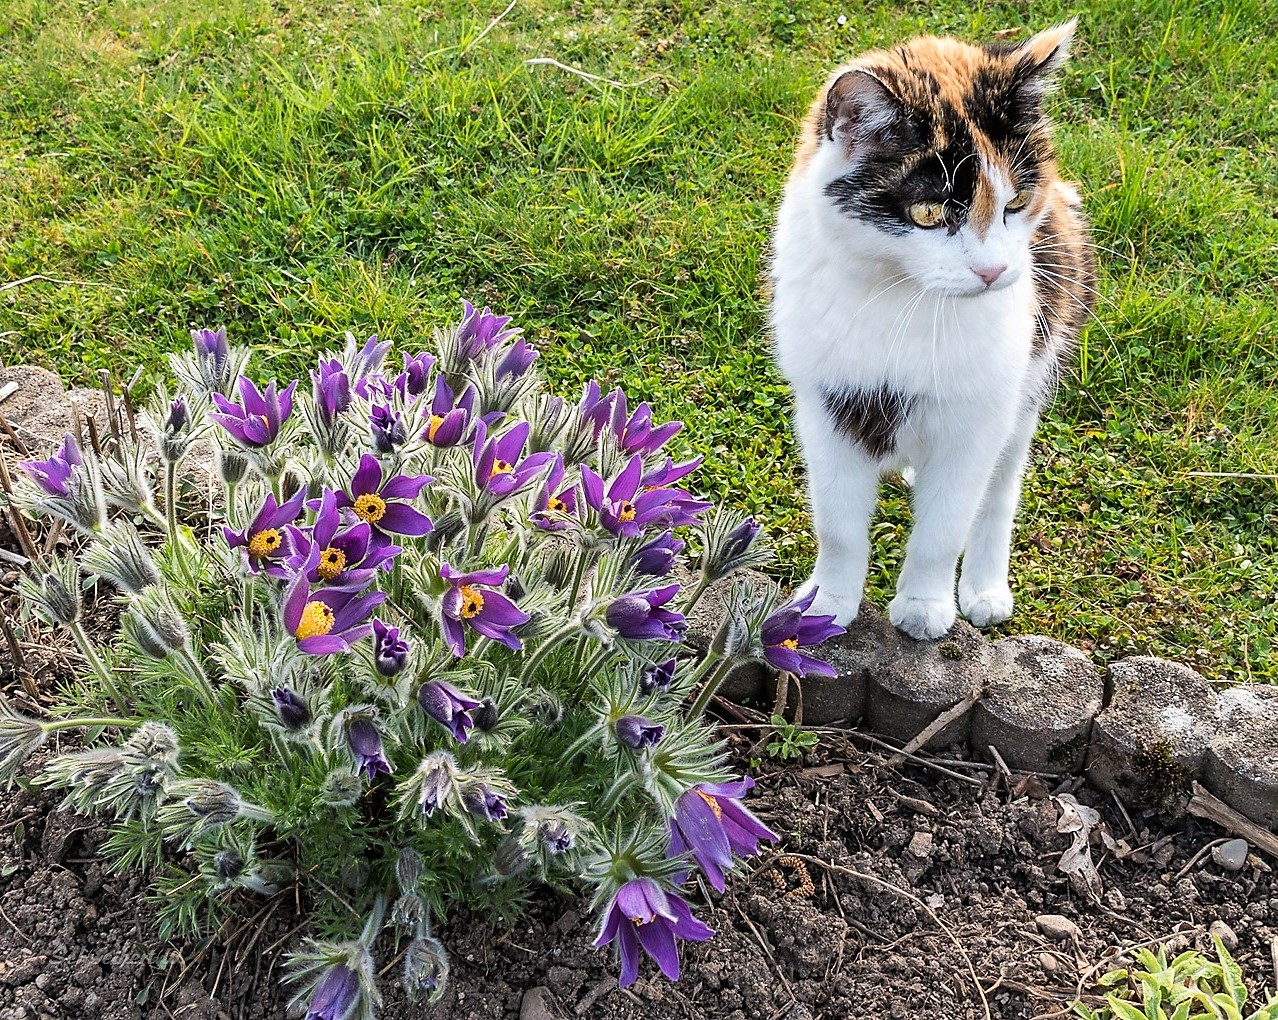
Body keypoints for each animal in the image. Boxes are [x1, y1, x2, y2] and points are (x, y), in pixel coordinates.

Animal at [771, 22, 1093, 639]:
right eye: (927, 212)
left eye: (1017, 201)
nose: (993, 271)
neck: (907, 300)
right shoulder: (828, 407)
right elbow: (838, 526)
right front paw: (825, 605)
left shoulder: (976, 420)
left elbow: (944, 530)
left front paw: (924, 607)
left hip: (1032, 376)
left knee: (999, 492)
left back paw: (985, 590)